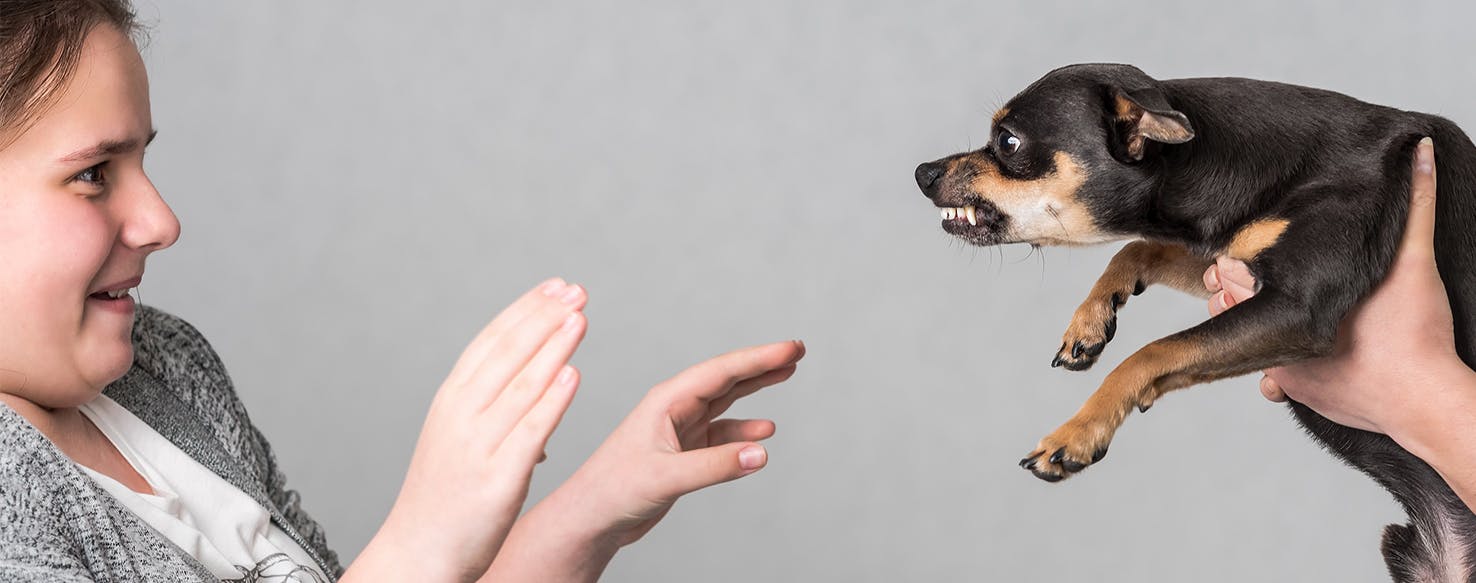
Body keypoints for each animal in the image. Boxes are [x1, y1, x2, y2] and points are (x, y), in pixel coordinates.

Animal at [915, 64, 1470, 583]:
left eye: (1008, 142)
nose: (922, 172)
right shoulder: (1222, 258)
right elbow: (1138, 248)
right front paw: (1090, 321)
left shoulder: (1296, 309)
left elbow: (1154, 350)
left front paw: (1077, 432)